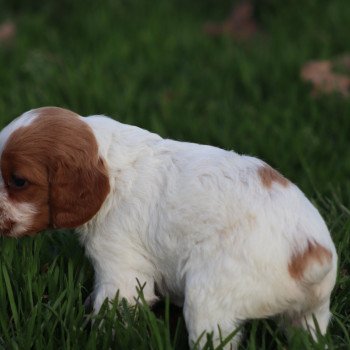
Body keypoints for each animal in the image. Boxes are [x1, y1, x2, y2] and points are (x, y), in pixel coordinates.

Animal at [0, 108, 340, 348]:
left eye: (18, 181)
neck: (109, 165)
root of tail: (310, 253)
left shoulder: (120, 265)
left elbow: (112, 308)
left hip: (208, 302)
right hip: (311, 315)